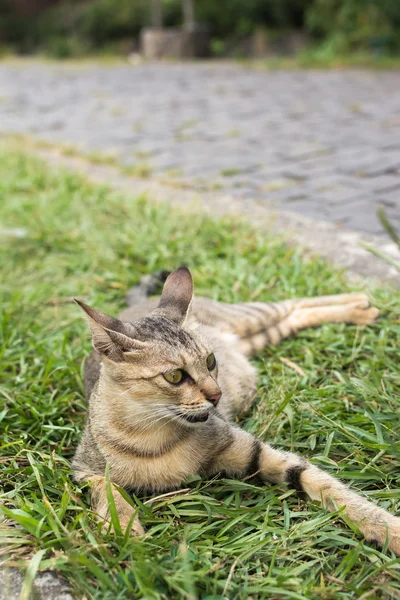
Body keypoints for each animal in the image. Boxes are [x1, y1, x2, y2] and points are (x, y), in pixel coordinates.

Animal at [72, 268, 400, 552]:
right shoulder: (83, 469)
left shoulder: (257, 452)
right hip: (264, 334)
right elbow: (107, 489)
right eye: (175, 376)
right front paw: (124, 528)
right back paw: (362, 307)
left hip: (252, 316)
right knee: (295, 314)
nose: (217, 395)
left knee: (294, 303)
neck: (153, 435)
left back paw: (361, 300)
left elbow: (331, 488)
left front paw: (389, 529)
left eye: (210, 361)